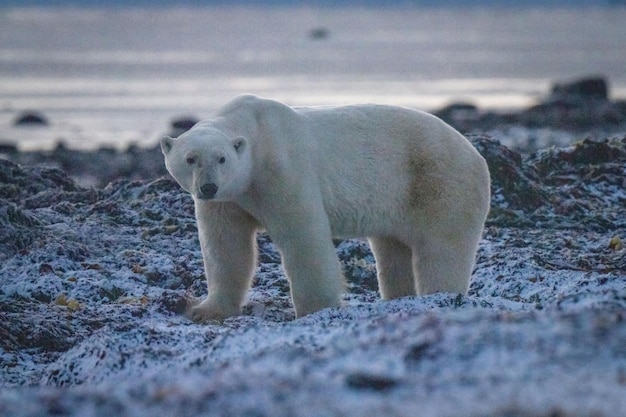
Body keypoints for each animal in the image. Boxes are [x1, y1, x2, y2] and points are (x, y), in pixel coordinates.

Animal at [158, 95, 490, 322]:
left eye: (221, 158)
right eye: (190, 158)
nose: (208, 187)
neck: (255, 130)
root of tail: (476, 155)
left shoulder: (281, 169)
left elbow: (304, 237)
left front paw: (315, 308)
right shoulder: (231, 198)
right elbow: (226, 247)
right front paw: (206, 309)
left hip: (439, 181)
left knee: (442, 249)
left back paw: (439, 295)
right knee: (393, 250)